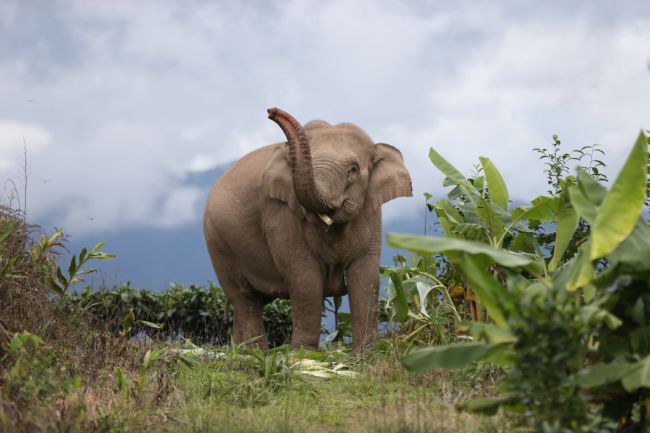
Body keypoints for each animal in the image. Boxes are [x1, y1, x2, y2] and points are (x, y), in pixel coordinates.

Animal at [203, 108, 412, 351]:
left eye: (353, 170)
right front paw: (305, 355)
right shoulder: (280, 212)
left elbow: (366, 276)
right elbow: (305, 279)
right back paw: (253, 353)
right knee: (245, 299)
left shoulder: (371, 214)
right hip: (218, 244)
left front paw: (365, 353)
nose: (270, 111)